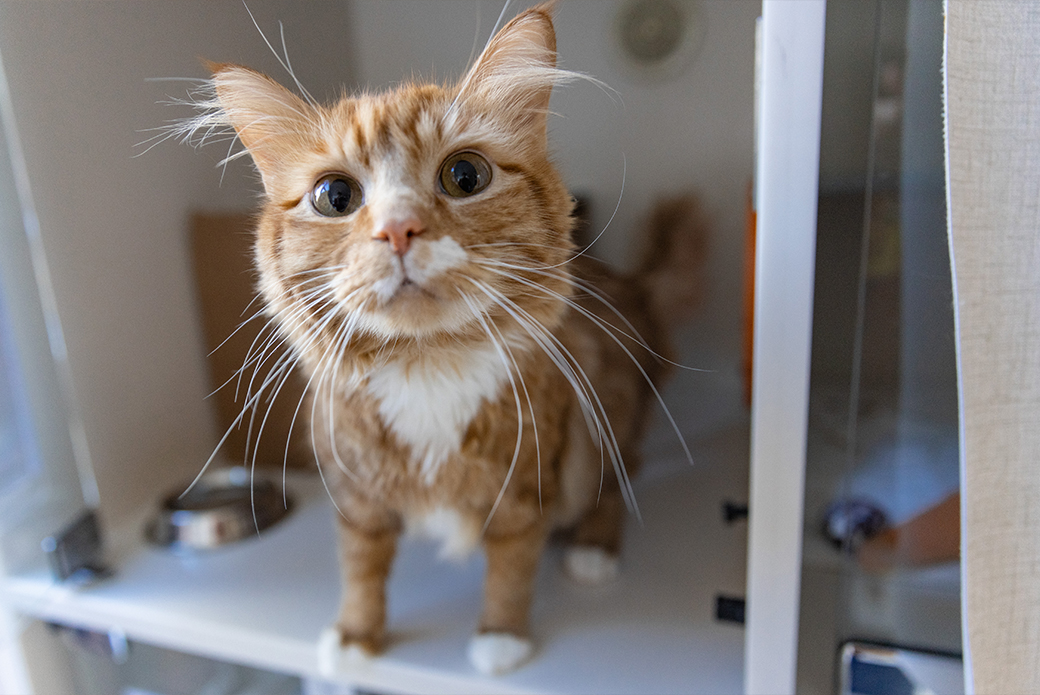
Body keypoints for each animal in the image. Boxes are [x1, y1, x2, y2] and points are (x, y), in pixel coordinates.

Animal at [190, 0, 703, 674]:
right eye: (335, 195)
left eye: (464, 175)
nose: (398, 229)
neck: (425, 366)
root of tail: (630, 286)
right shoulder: (356, 498)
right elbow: (361, 567)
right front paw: (356, 636)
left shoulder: (526, 491)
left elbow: (510, 570)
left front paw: (501, 637)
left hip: (604, 424)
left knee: (617, 483)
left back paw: (593, 549)